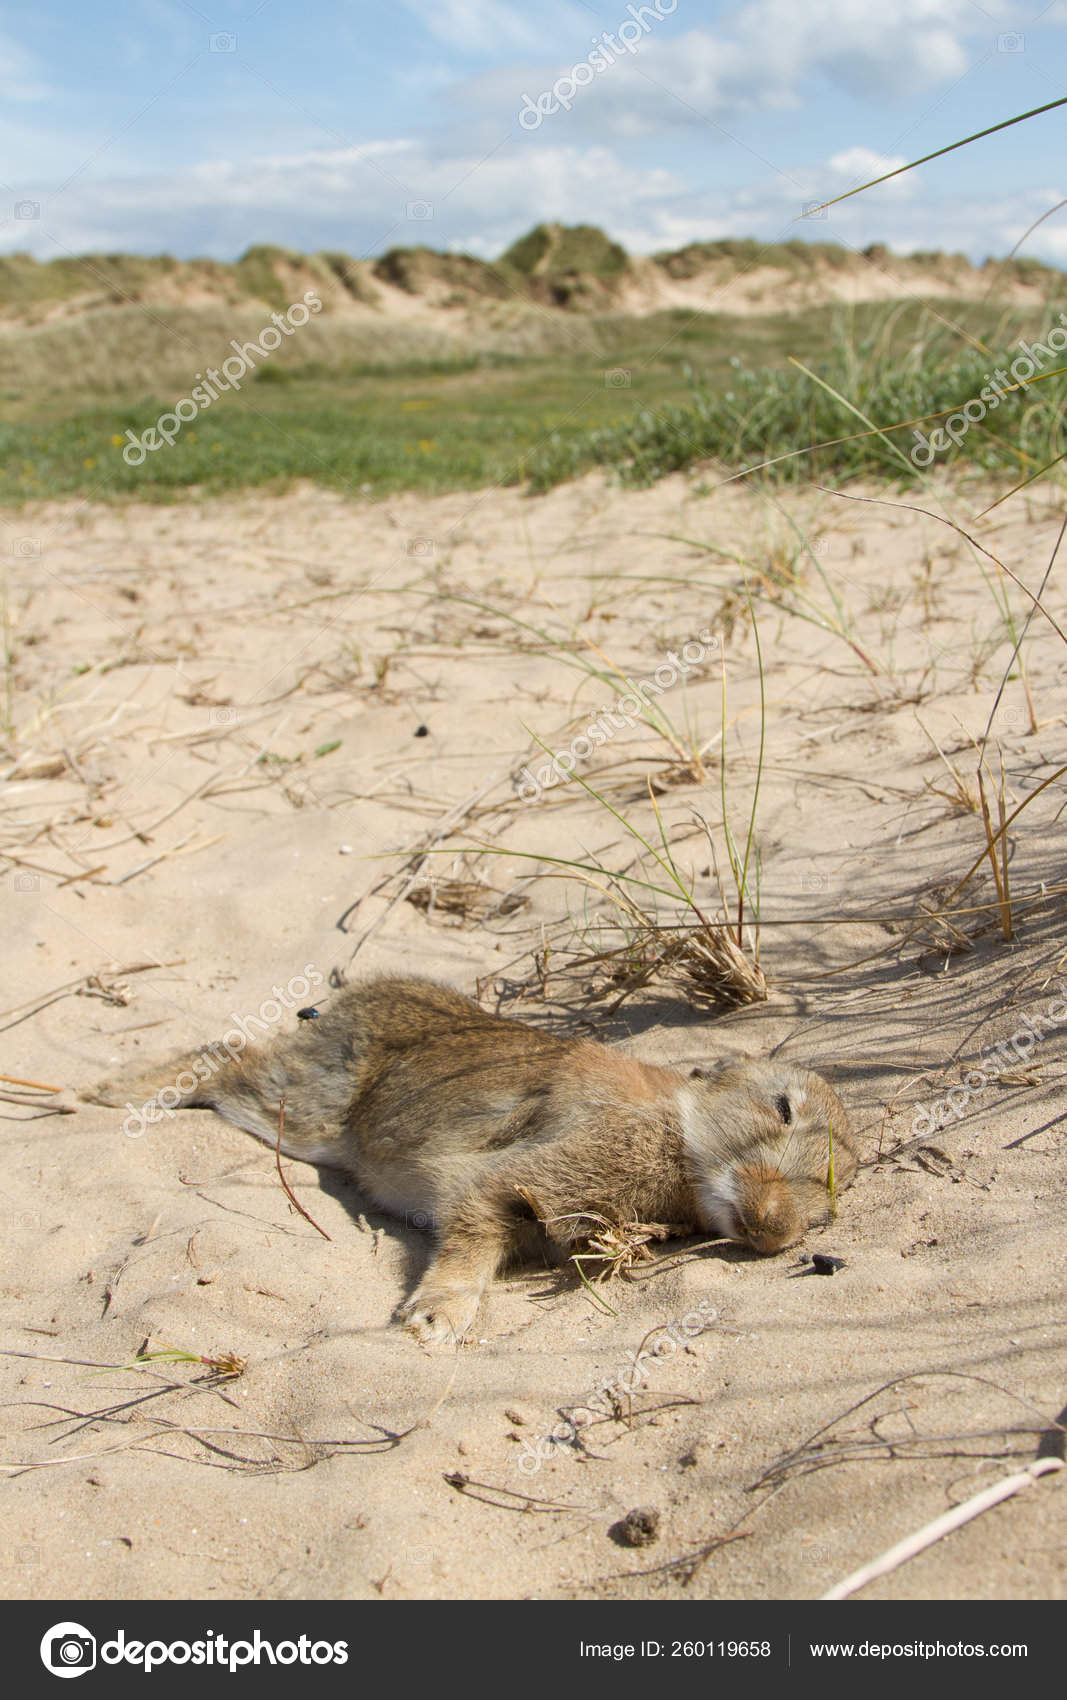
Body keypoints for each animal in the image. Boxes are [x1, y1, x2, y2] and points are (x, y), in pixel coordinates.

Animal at [83, 974, 855, 1345]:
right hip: (299, 1111)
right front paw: (435, 1321)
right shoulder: (511, 1178)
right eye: (781, 1108)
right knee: (223, 1061)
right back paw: (98, 1093)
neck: (679, 1129)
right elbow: (474, 1232)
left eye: (831, 1198)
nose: (772, 1227)